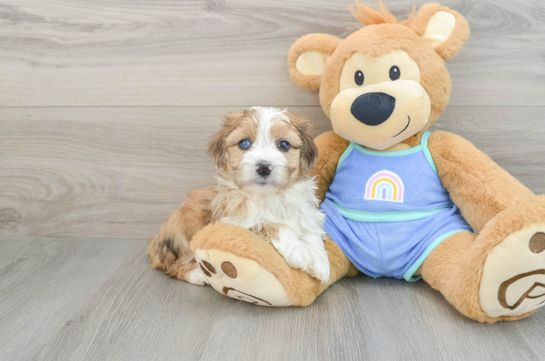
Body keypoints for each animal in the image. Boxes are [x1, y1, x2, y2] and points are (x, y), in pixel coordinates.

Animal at [147, 106, 330, 284]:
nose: (264, 167)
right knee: (175, 266)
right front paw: (299, 252)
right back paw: (199, 275)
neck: (270, 196)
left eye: (284, 145)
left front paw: (319, 262)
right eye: (244, 143)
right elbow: (268, 222)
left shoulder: (304, 211)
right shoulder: (235, 220)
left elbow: (310, 228)